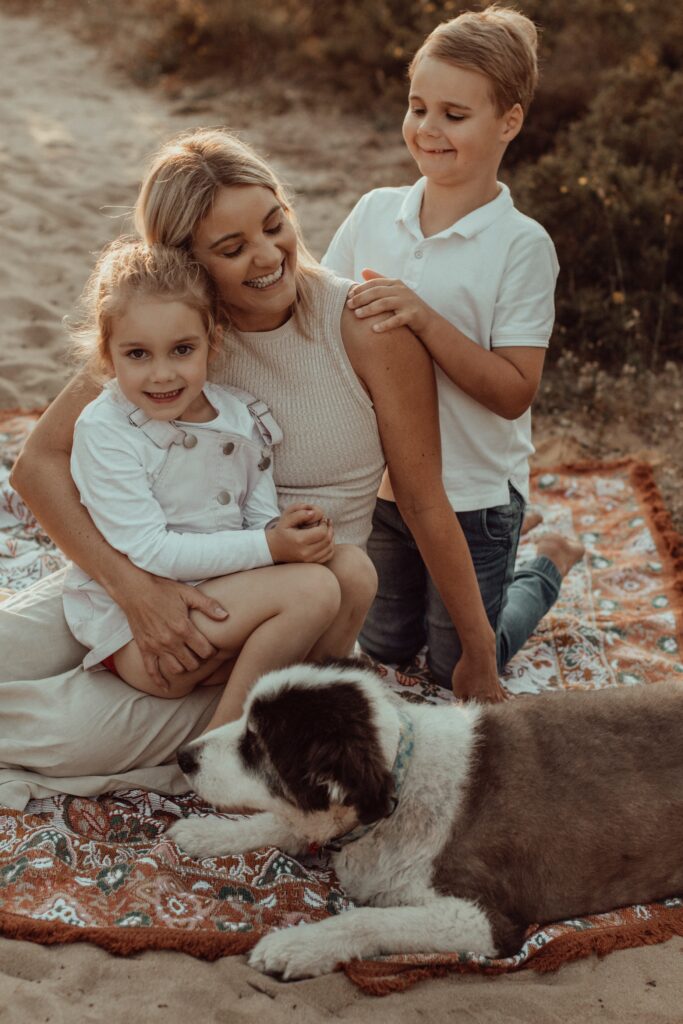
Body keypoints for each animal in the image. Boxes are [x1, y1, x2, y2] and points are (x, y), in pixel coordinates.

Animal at [167, 659, 683, 978]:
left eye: (256, 745)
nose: (183, 756)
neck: (401, 776)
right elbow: (283, 823)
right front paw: (207, 832)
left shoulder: (489, 920)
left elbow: (368, 919)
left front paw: (300, 944)